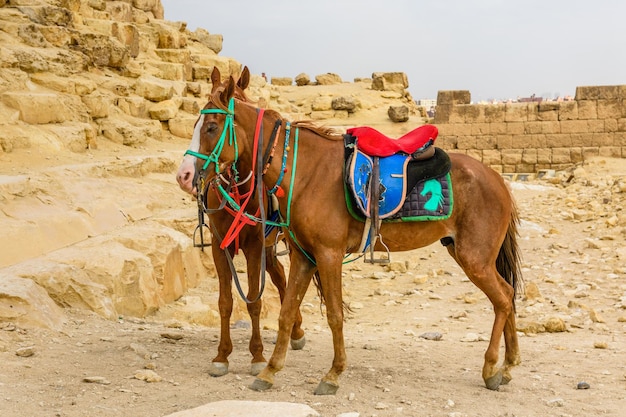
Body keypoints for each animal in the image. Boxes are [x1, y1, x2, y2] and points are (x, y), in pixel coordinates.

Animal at [174, 67, 304, 376]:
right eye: (195, 124)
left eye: (211, 127)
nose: (184, 176)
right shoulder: (220, 245)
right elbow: (225, 301)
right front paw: (222, 355)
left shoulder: (255, 245)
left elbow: (254, 301)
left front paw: (257, 356)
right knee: (280, 278)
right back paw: (294, 331)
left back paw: (296, 331)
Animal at [190, 70, 520, 394]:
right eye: (196, 124)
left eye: (211, 127)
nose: (186, 175)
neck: (305, 172)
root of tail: (498, 179)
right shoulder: (304, 256)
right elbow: (286, 311)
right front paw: (270, 371)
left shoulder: (328, 255)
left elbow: (335, 315)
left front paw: (333, 374)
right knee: (508, 293)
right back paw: (508, 365)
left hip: (474, 258)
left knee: (503, 298)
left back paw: (492, 368)